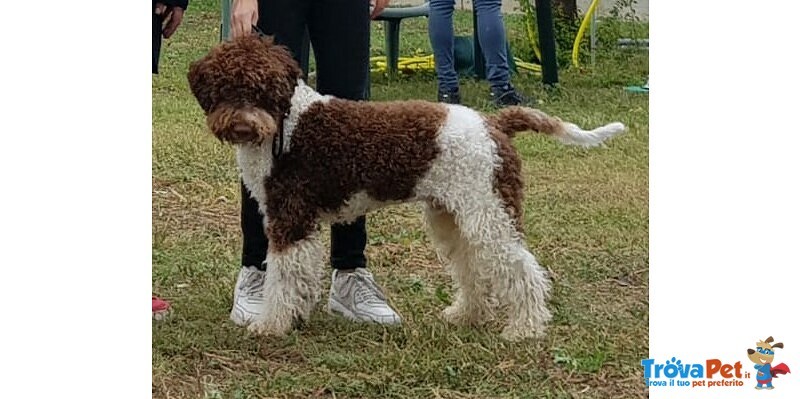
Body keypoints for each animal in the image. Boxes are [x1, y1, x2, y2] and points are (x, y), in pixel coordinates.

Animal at [188, 35, 624, 340]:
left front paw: (271, 325)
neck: (287, 122)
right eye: (226, 88)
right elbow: (296, 276)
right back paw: (466, 315)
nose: (243, 124)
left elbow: (281, 278)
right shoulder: (293, 221)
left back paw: (525, 328)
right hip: (453, 216)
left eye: (263, 90)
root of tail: (493, 122)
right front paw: (293, 316)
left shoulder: (290, 219)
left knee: (523, 270)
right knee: (473, 268)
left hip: (489, 214)